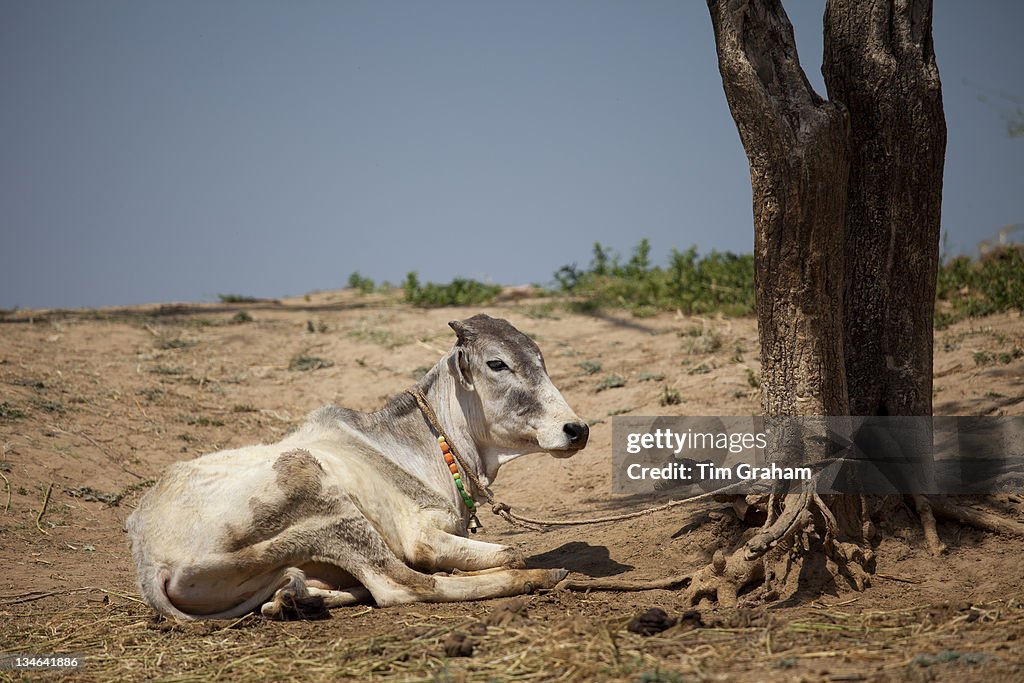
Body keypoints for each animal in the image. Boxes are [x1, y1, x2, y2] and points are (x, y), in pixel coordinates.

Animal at [126, 313, 589, 618]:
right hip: (323, 497)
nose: (576, 429)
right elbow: (511, 552)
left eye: (541, 361)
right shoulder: (420, 536)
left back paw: (295, 598)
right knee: (402, 586)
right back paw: (541, 577)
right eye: (497, 363)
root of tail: (149, 558)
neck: (414, 447)